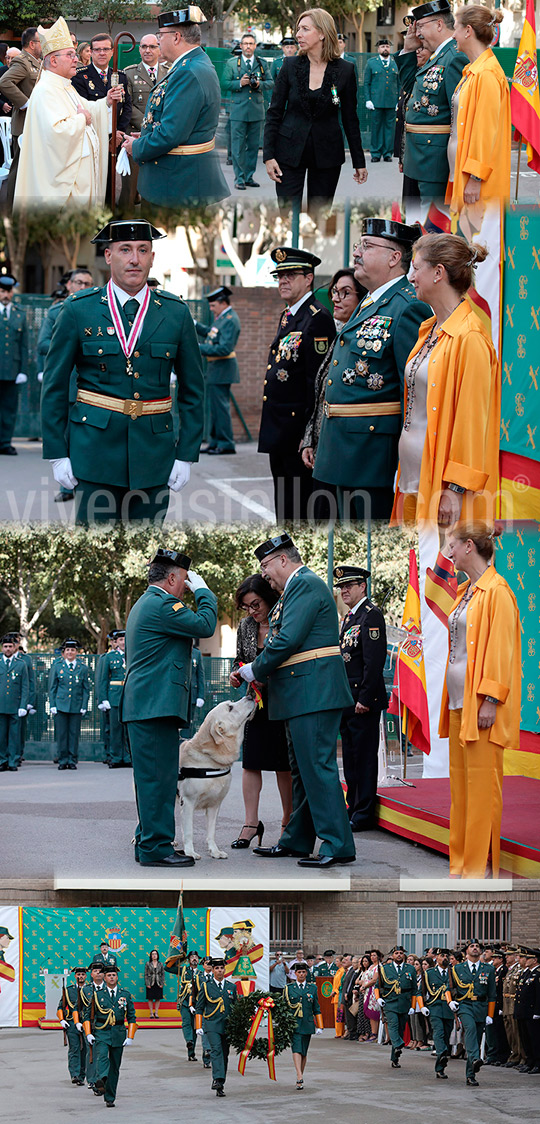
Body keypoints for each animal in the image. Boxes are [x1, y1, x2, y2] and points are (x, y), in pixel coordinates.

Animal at [177, 692, 256, 858]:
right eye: (230, 707)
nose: (250, 696)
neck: (209, 759)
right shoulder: (187, 802)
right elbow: (188, 831)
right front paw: (190, 852)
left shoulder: (215, 804)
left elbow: (211, 831)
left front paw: (214, 851)